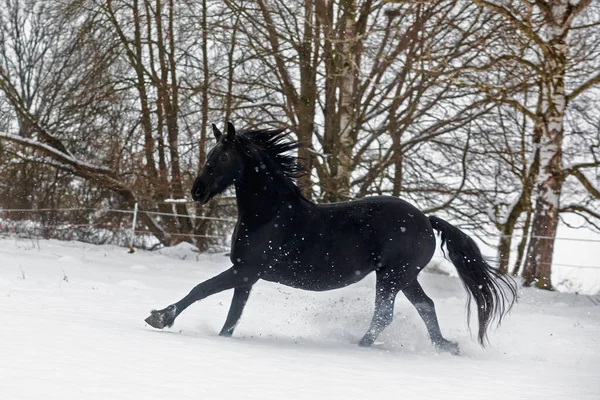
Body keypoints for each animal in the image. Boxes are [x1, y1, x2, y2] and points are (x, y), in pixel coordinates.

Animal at [145, 122, 516, 354]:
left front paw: (159, 317)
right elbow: (232, 317)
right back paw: (445, 346)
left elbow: (201, 289)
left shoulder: (246, 270)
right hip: (403, 276)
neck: (269, 215)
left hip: (393, 276)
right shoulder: (247, 277)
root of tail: (426, 220)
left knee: (385, 315)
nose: (197, 192)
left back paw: (360, 346)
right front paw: (219, 338)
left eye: (222, 156)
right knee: (425, 306)